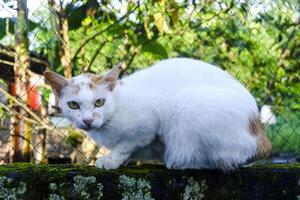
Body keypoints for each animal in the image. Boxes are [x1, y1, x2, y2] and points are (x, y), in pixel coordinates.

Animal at [45, 57, 272, 170]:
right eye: (73, 105)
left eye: (99, 102)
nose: (88, 120)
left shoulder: (147, 124)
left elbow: (125, 144)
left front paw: (111, 159)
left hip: (187, 109)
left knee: (219, 162)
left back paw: (180, 162)